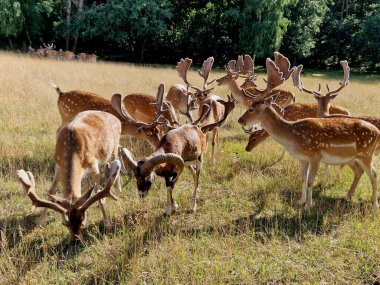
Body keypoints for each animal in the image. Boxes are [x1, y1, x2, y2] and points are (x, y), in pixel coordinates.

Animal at [16, 110, 121, 241]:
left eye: (83, 221)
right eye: (65, 223)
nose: (76, 240)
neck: (72, 148)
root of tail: (116, 118)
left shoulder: (93, 164)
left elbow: (97, 191)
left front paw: (107, 222)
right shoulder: (58, 164)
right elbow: (51, 190)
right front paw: (40, 221)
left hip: (114, 150)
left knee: (116, 166)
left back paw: (117, 194)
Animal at [113, 85, 236, 214]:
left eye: (148, 178)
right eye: (136, 177)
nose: (141, 194)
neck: (168, 146)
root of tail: (198, 128)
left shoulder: (176, 171)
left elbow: (171, 186)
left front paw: (172, 209)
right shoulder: (167, 175)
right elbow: (168, 188)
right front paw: (170, 208)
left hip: (199, 159)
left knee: (197, 177)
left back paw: (193, 206)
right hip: (188, 164)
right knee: (193, 175)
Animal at [239, 58, 378, 210]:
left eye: (251, 109)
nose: (240, 120)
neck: (292, 136)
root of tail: (377, 132)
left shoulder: (316, 155)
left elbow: (311, 180)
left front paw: (308, 206)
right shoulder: (303, 158)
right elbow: (303, 179)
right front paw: (300, 201)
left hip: (366, 155)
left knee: (374, 174)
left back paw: (374, 205)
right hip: (354, 157)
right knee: (360, 172)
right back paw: (348, 196)